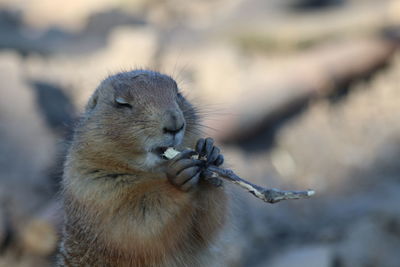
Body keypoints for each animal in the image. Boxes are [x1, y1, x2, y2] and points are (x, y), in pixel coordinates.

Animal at [57, 70, 230, 266]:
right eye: (122, 103)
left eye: (178, 94)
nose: (175, 124)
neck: (152, 170)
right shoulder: (94, 189)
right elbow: (138, 221)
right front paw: (177, 178)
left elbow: (209, 224)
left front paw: (211, 153)